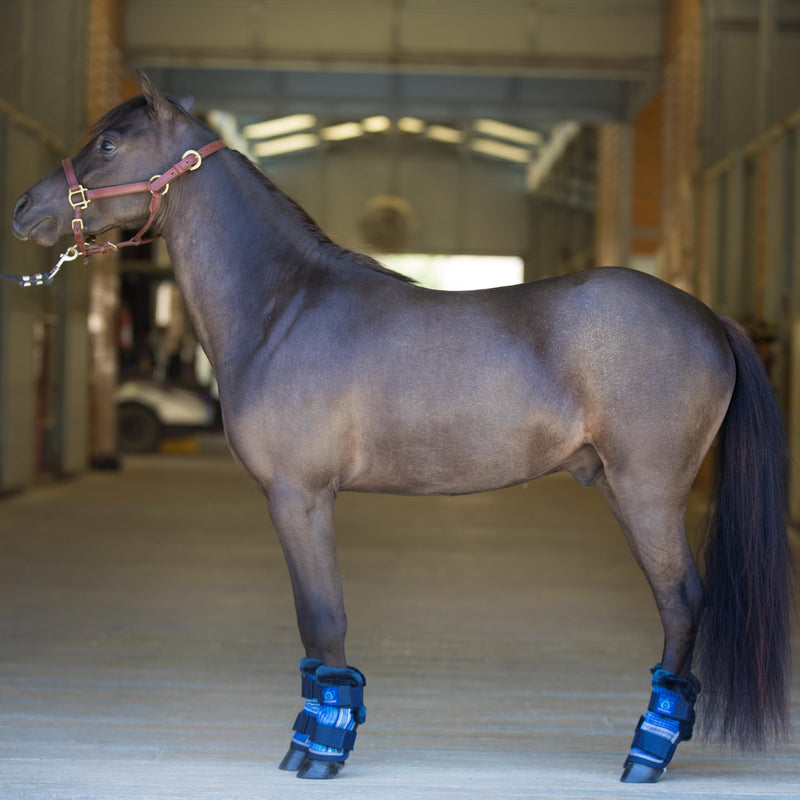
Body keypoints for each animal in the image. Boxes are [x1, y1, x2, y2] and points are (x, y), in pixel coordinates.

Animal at [10, 71, 794, 783]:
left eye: (110, 143)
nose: (23, 208)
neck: (283, 308)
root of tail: (706, 316)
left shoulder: (300, 497)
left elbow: (322, 619)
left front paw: (320, 752)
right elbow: (317, 627)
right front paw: (315, 737)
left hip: (647, 491)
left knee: (682, 602)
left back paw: (646, 756)